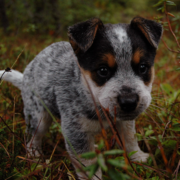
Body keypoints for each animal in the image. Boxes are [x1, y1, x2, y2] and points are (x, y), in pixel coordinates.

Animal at [0, 16, 162, 179]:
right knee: (33, 138)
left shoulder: (124, 122)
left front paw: (138, 158)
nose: (129, 101)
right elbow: (87, 163)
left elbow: (130, 138)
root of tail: (25, 74)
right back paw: (35, 157)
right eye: (103, 70)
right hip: (38, 117)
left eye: (143, 67)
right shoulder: (75, 131)